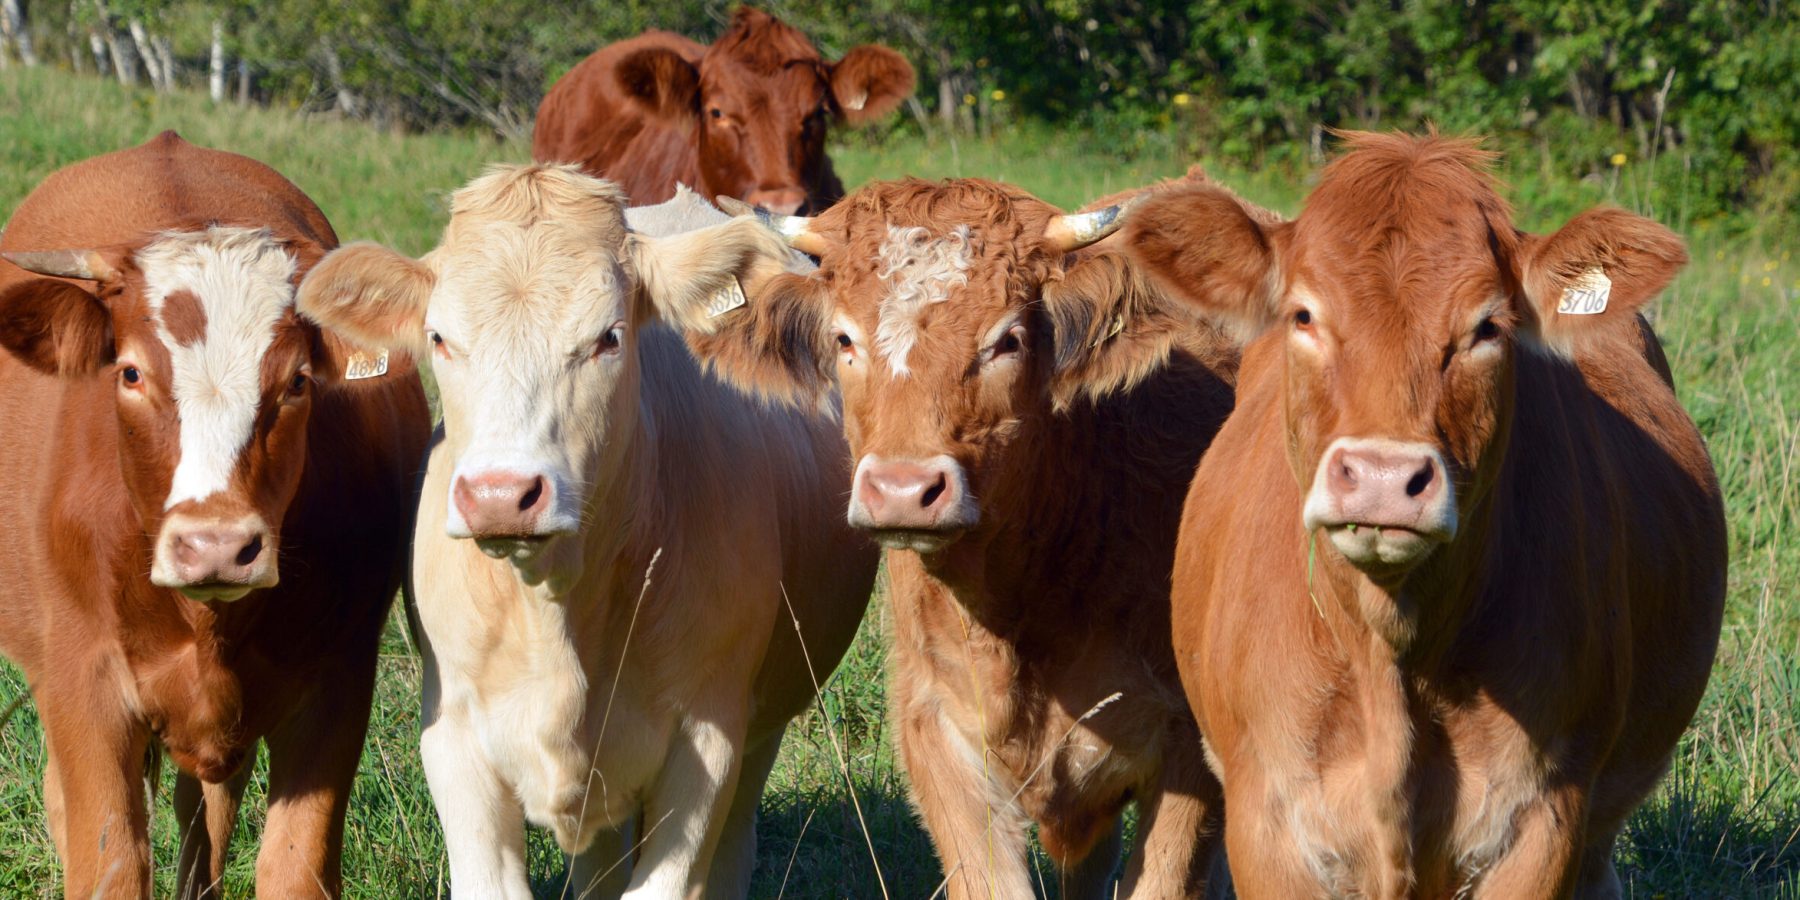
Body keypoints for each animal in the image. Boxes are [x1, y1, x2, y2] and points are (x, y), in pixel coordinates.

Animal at [0, 131, 430, 898]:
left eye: (297, 381)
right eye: (131, 372)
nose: (217, 547)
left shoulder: (336, 689)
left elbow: (293, 867)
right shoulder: (85, 691)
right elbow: (109, 863)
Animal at [294, 166, 879, 898]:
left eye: (609, 337)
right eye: (439, 339)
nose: (500, 495)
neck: (556, 611)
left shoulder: (709, 738)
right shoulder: (452, 736)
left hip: (763, 724)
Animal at [1125, 131, 1726, 897]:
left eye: (1487, 327)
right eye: (1304, 315)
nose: (1383, 479)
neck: (1391, 658)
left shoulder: (1544, 819)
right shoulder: (1267, 820)